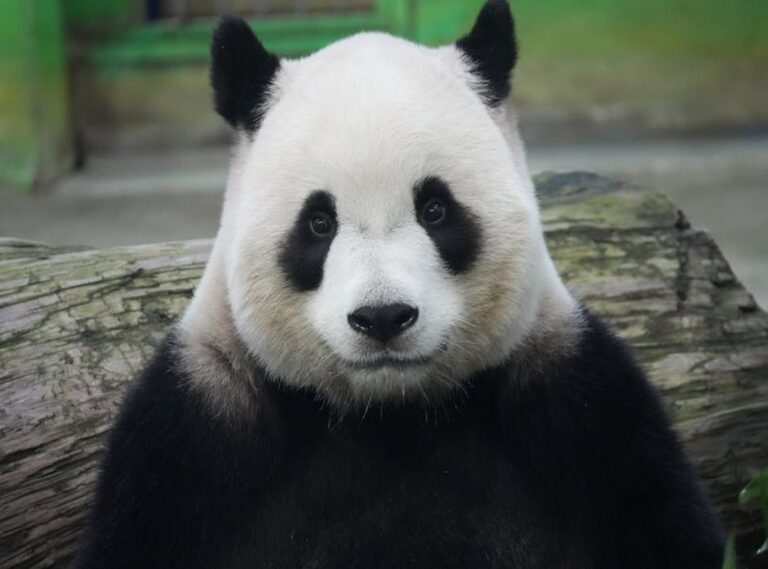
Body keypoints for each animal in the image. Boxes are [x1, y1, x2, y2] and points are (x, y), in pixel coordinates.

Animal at [74, 2, 725, 568]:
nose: (383, 317)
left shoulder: (579, 408)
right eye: (319, 222)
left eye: (435, 210)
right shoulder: (197, 433)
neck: (391, 414)